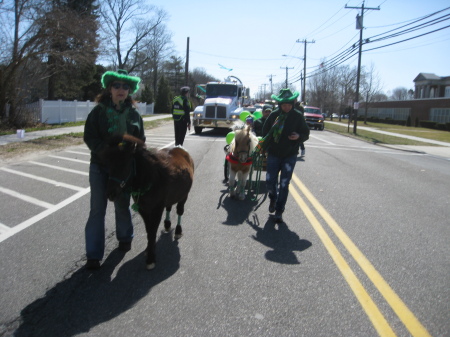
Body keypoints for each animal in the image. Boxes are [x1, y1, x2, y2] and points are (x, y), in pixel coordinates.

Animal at [103, 133, 195, 268]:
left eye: (124, 165)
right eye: (109, 165)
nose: (110, 194)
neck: (151, 179)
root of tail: (180, 148)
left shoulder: (157, 209)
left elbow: (152, 231)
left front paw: (151, 258)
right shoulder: (143, 209)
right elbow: (148, 230)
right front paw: (148, 249)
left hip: (184, 196)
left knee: (179, 211)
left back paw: (178, 231)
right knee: (169, 207)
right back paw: (167, 225)